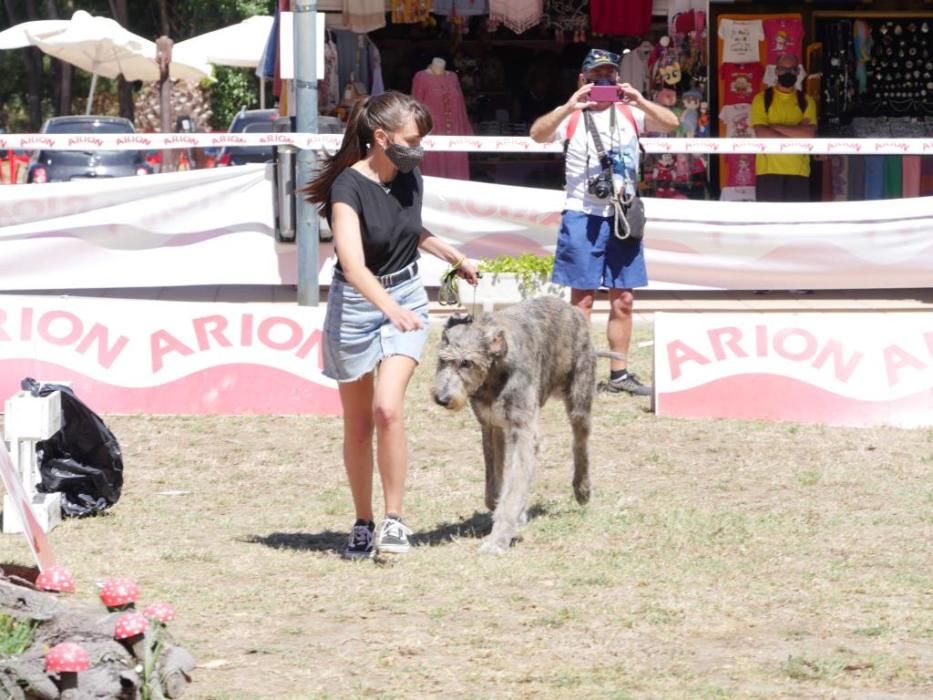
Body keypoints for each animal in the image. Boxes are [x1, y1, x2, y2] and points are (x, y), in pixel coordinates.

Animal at [432, 296, 592, 552]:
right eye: (442, 360)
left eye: (467, 363)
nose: (442, 398)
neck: (493, 373)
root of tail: (571, 308)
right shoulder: (490, 425)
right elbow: (495, 483)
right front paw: (510, 511)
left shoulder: (522, 428)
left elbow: (515, 482)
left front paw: (498, 538)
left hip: (580, 393)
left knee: (580, 441)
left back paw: (582, 488)